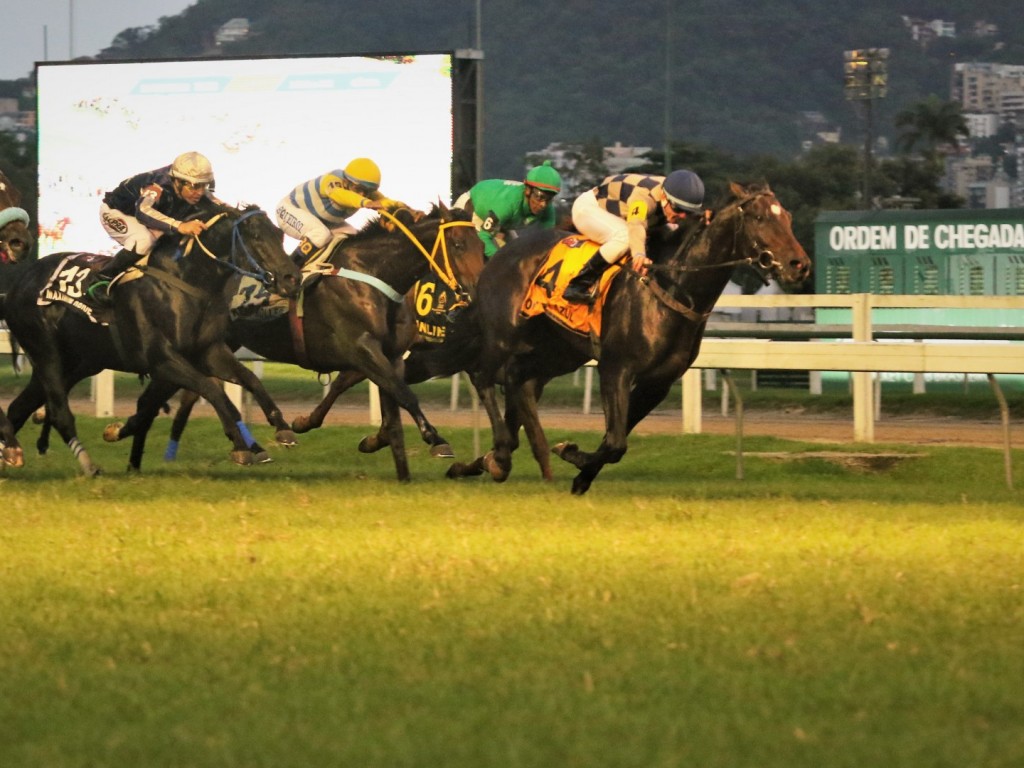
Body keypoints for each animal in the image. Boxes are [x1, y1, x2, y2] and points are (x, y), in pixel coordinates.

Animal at [1, 199, 299, 475]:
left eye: (279, 234)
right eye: (256, 235)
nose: (291, 278)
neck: (186, 282)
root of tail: (18, 283)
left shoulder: (208, 351)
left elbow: (249, 380)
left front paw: (282, 428)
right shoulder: (162, 360)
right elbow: (212, 389)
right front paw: (240, 446)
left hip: (77, 363)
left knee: (19, 408)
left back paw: (12, 453)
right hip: (46, 353)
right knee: (58, 411)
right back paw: (88, 465)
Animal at [114, 201, 485, 483]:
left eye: (481, 245)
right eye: (458, 245)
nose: (476, 293)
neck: (374, 274)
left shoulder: (387, 354)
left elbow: (386, 401)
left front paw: (381, 449)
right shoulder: (361, 348)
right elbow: (403, 394)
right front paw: (436, 439)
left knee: (162, 397)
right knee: (158, 396)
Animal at [434, 182, 815, 493]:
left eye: (787, 216)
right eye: (760, 217)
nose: (799, 265)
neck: (670, 285)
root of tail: (496, 256)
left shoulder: (658, 382)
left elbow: (614, 441)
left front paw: (580, 471)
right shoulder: (616, 368)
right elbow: (617, 441)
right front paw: (571, 455)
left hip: (555, 353)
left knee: (518, 383)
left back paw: (487, 461)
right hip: (504, 336)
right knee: (482, 376)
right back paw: (497, 454)